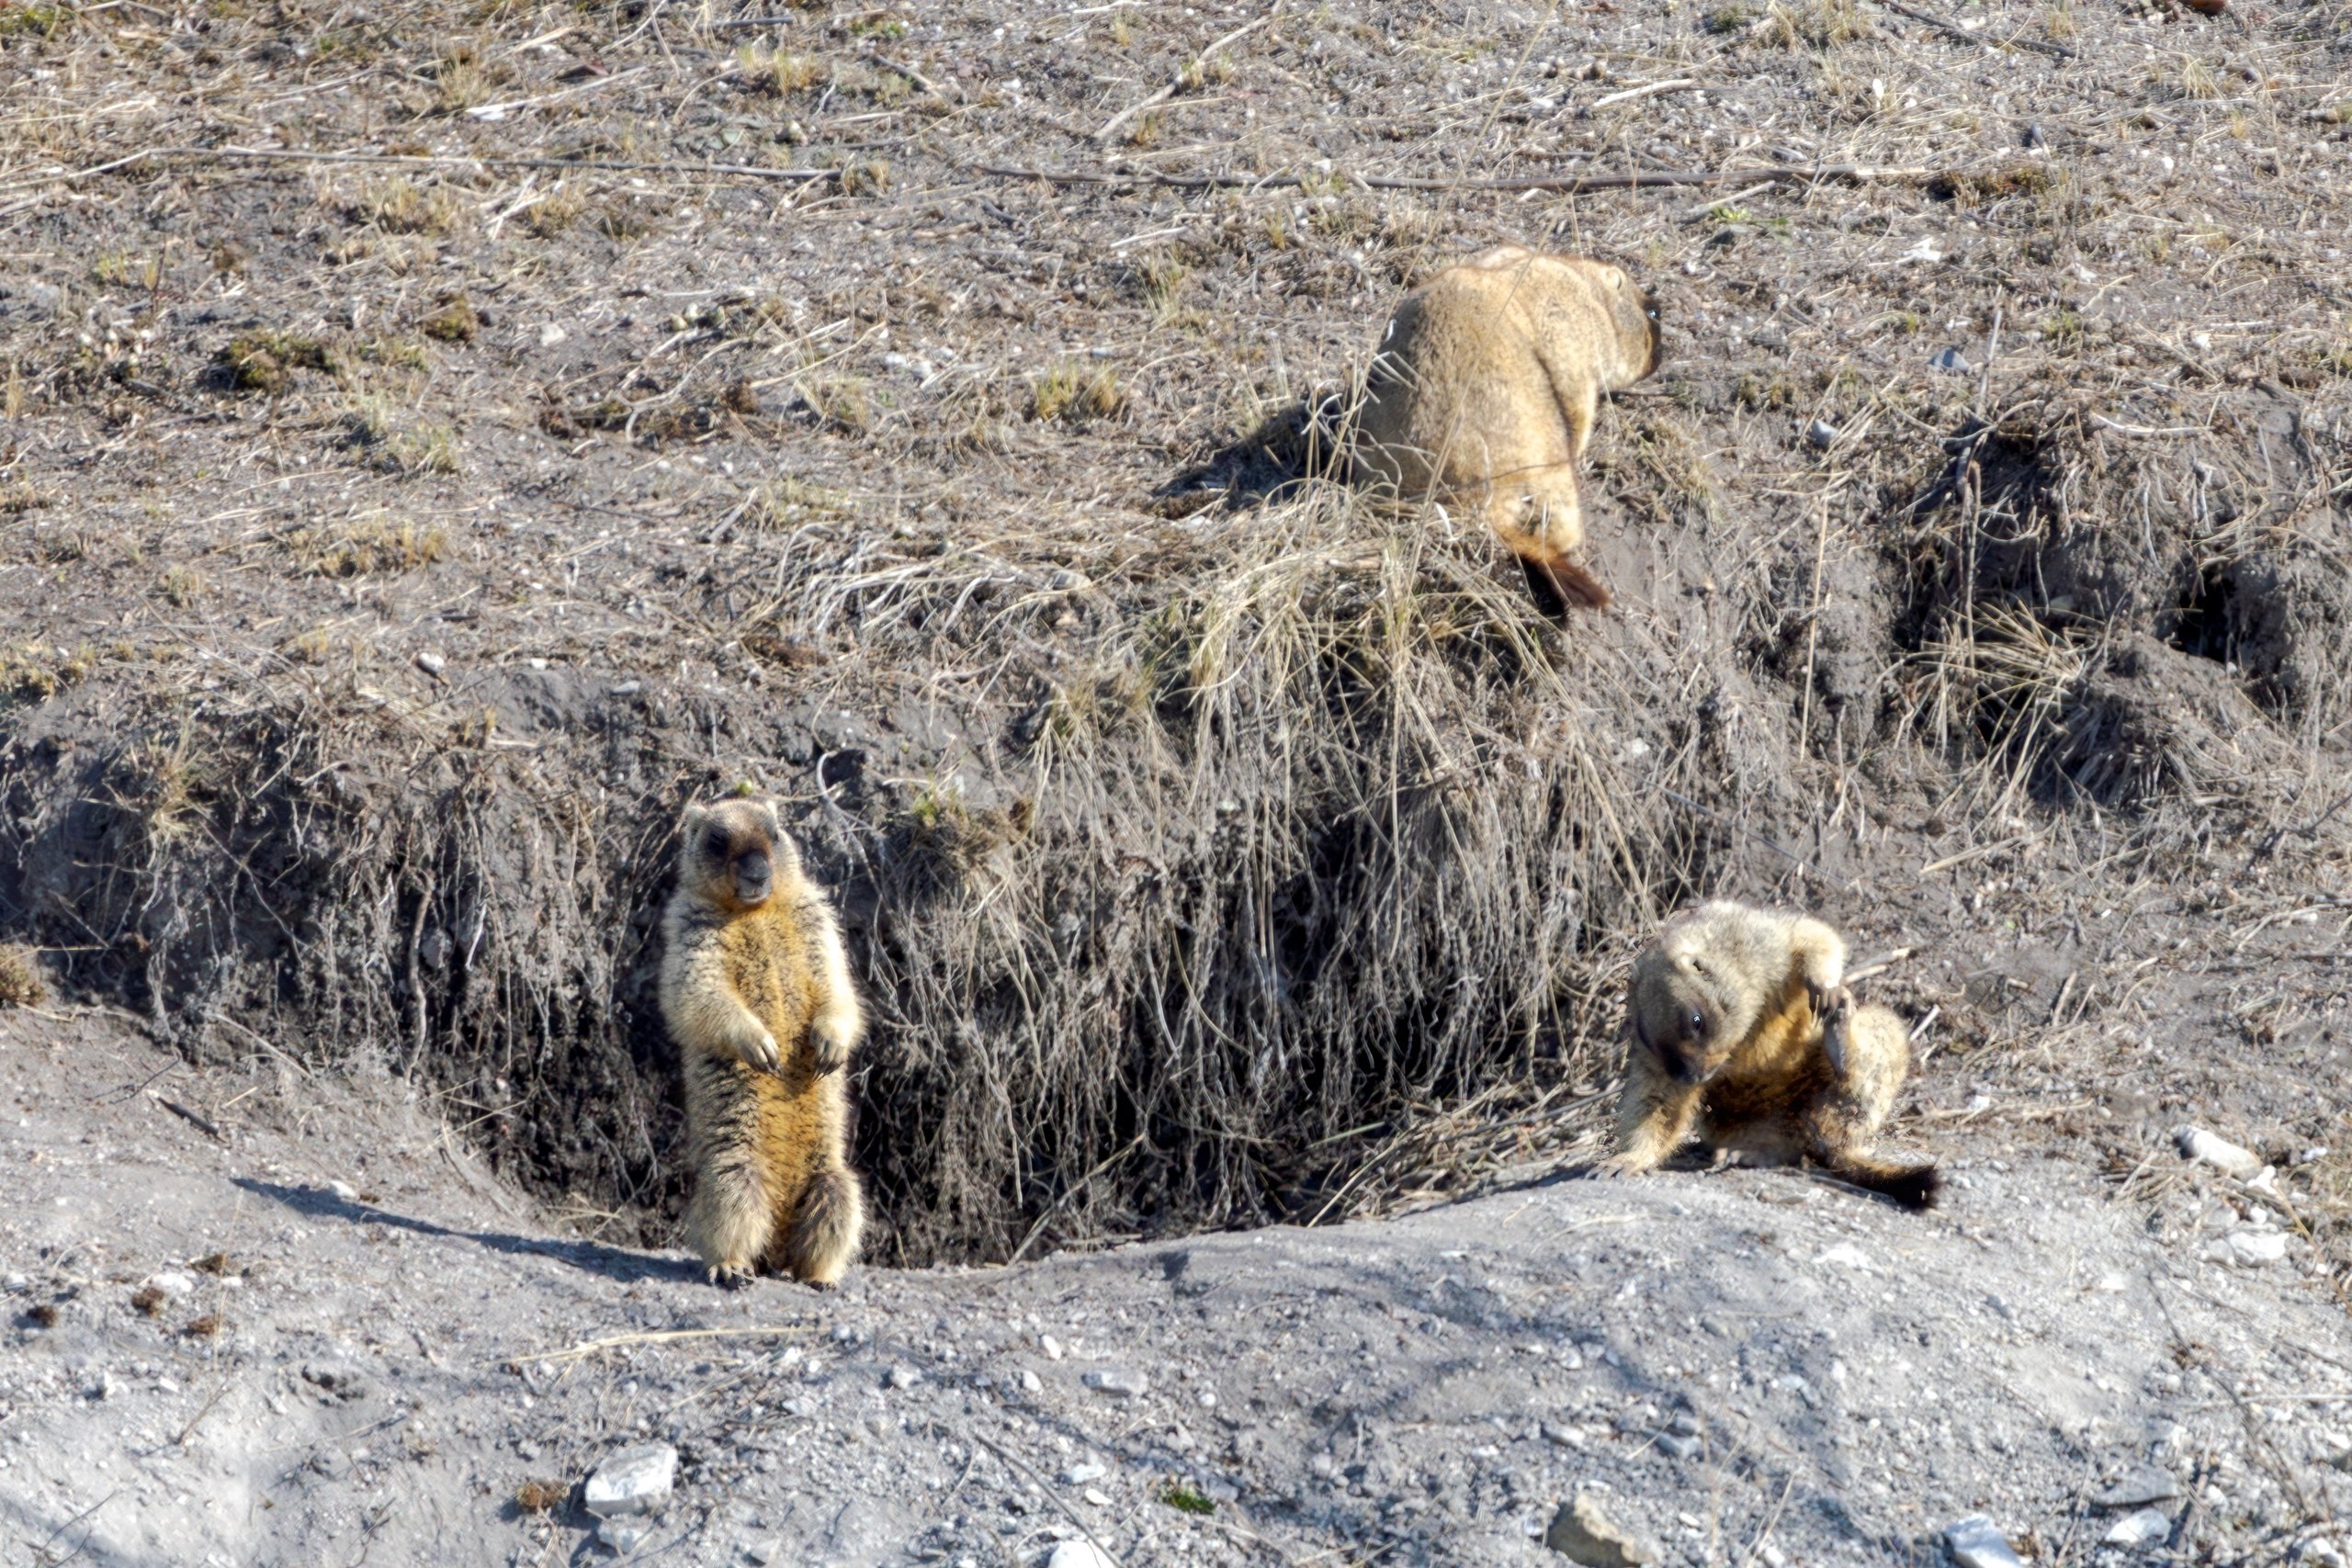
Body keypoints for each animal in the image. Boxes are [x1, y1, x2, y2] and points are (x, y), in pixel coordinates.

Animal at [659, 797, 866, 1287]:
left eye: (774, 832)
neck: (755, 911)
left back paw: (820, 1276)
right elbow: (699, 986)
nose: (757, 872)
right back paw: (731, 1267)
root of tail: (775, 1250)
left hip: (837, 1184)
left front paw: (830, 1045)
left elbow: (835, 978)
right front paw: (762, 1045)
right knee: (732, 1220)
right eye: (718, 840)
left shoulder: (816, 918)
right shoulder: (689, 927)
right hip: (734, 1174)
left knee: (826, 1225)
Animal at [1351, 244, 1663, 617]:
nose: (1663, 353)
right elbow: (1577, 398)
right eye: (1654, 313)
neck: (1588, 287)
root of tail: (1477, 506)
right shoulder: (1568, 324)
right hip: (1547, 467)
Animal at [1603, 899, 1941, 1211]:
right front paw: (1625, 1160)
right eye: (1648, 1039)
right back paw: (1742, 1153)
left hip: (1875, 1049)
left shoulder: (1757, 943)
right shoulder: (1654, 1063)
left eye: (1696, 1020)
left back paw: (1841, 1041)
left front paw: (1825, 989)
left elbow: (1811, 936)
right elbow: (1657, 1096)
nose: (1692, 1077)